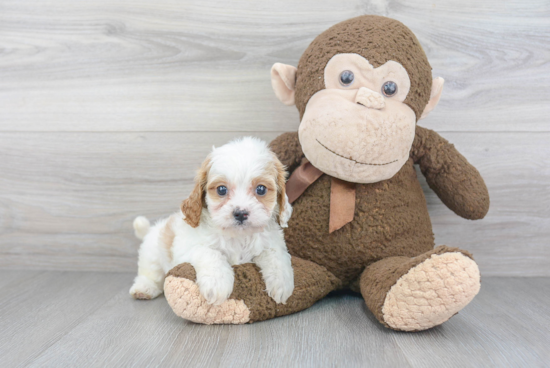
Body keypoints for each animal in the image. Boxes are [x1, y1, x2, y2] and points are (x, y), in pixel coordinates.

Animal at [129, 137, 296, 304]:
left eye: (261, 189)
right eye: (221, 190)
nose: (241, 213)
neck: (238, 237)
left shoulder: (272, 242)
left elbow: (276, 255)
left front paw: (282, 283)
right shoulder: (188, 247)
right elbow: (210, 253)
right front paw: (217, 283)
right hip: (153, 252)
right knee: (151, 273)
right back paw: (144, 288)